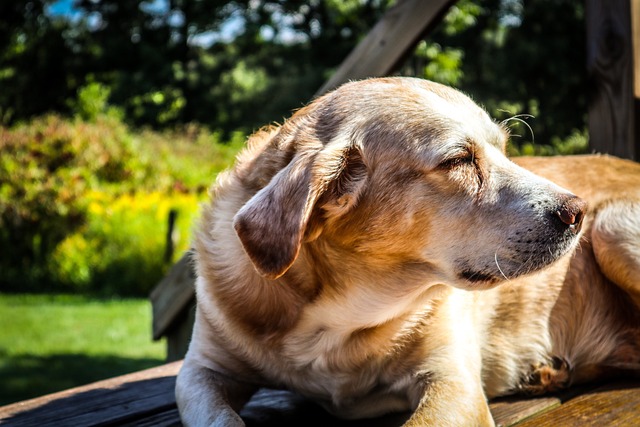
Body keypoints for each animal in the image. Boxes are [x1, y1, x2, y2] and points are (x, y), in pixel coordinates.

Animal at [175, 77, 640, 427]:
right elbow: (219, 418)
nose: (578, 210)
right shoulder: (200, 372)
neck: (341, 316)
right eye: (458, 160)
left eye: (504, 150)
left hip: (611, 227)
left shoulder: (453, 383)